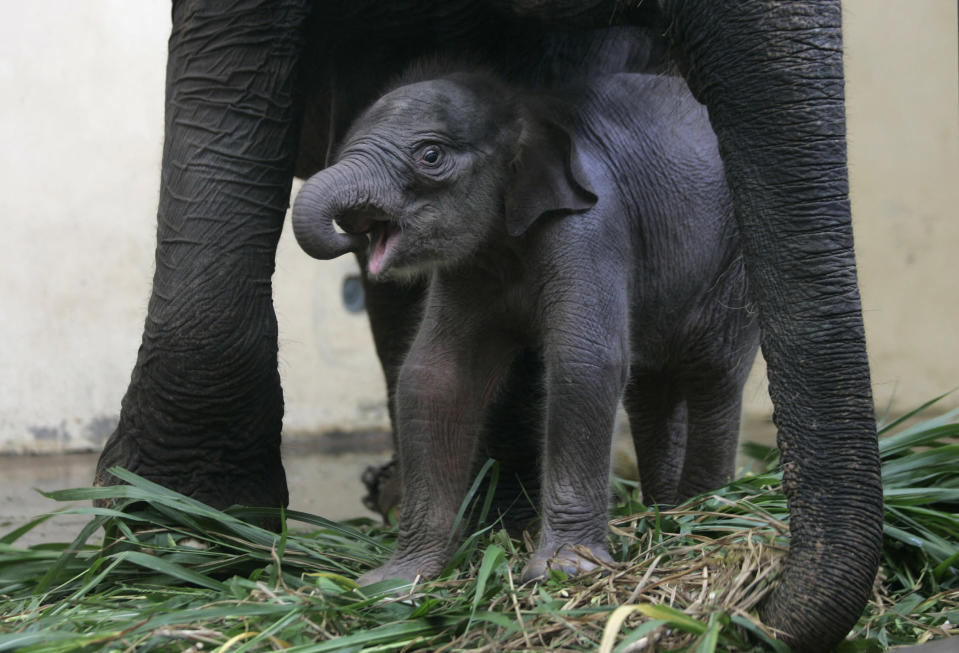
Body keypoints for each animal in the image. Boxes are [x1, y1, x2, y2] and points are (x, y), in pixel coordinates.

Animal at [290, 63, 756, 584]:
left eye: (430, 155)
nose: (352, 235)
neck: (524, 112)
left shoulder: (592, 228)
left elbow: (584, 364)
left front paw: (564, 570)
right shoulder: (468, 267)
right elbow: (435, 378)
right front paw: (394, 581)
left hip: (737, 265)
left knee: (713, 371)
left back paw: (705, 513)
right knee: (651, 388)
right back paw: (663, 512)